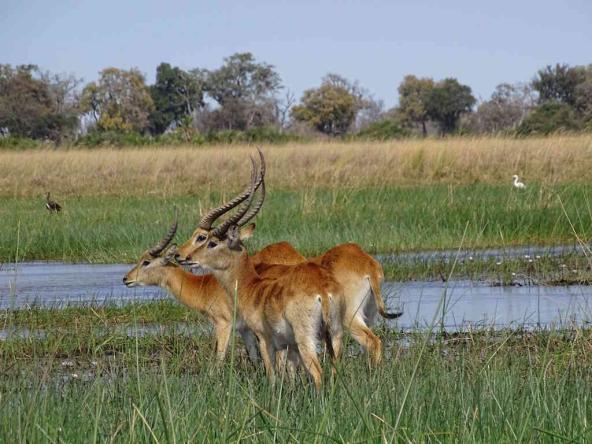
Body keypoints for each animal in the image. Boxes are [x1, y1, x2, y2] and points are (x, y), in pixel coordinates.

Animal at [182, 162, 338, 388]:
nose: (186, 257)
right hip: (332, 335)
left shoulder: (264, 338)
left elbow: (271, 374)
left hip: (305, 337)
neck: (251, 286)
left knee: (318, 373)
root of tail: (322, 293)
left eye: (210, 241)